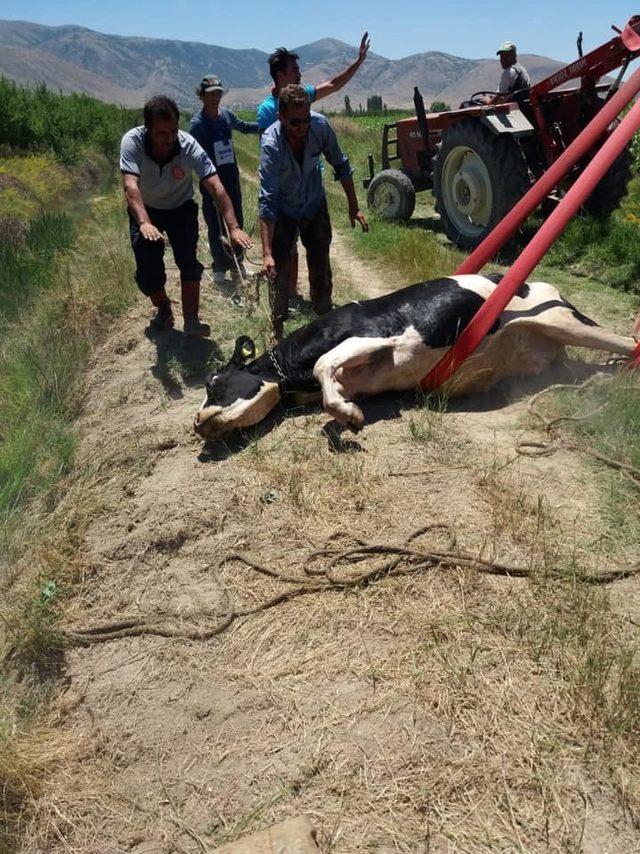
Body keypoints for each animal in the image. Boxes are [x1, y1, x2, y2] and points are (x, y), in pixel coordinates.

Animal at [192, 276, 636, 442]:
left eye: (213, 383)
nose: (196, 423)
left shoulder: (382, 337)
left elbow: (324, 366)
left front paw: (348, 416)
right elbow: (330, 379)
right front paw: (345, 410)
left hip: (563, 321)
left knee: (626, 341)